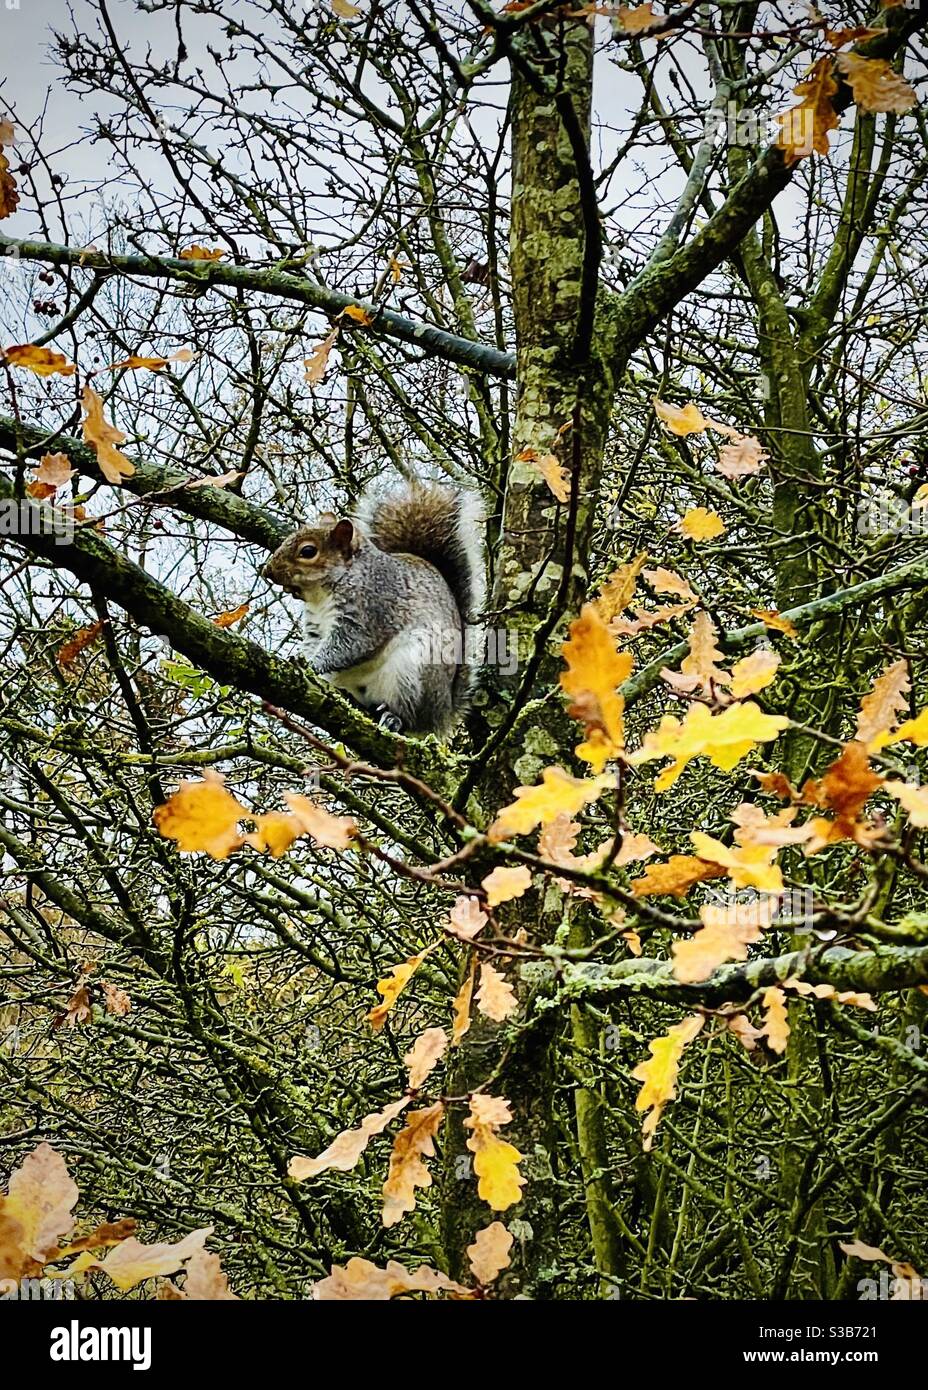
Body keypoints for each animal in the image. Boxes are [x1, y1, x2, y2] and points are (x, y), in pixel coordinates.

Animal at [257, 480, 483, 733]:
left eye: (308, 551)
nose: (266, 571)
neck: (321, 594)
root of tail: (442, 714)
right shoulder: (316, 624)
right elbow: (315, 642)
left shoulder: (372, 607)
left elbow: (351, 644)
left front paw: (311, 665)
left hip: (412, 672)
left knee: (410, 717)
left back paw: (394, 718)